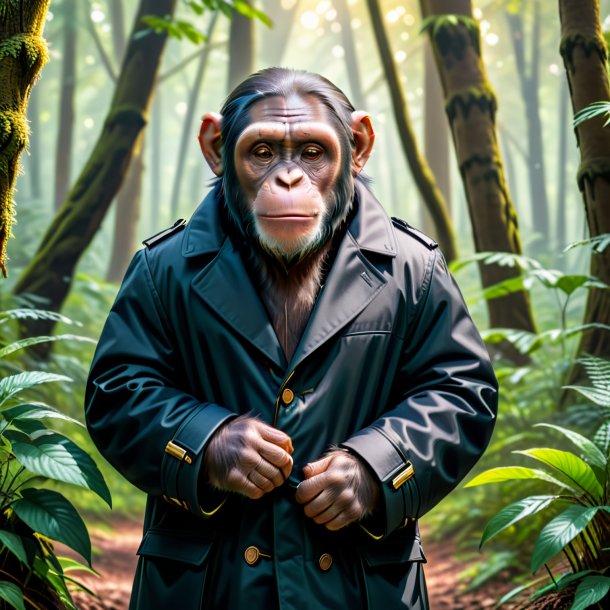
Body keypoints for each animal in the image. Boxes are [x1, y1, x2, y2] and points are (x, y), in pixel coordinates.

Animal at [84, 67, 494, 608]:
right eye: (262, 152)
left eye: (311, 152)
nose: (288, 179)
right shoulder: (147, 269)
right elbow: (125, 382)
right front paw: (239, 451)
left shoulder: (431, 271)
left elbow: (454, 385)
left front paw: (349, 482)